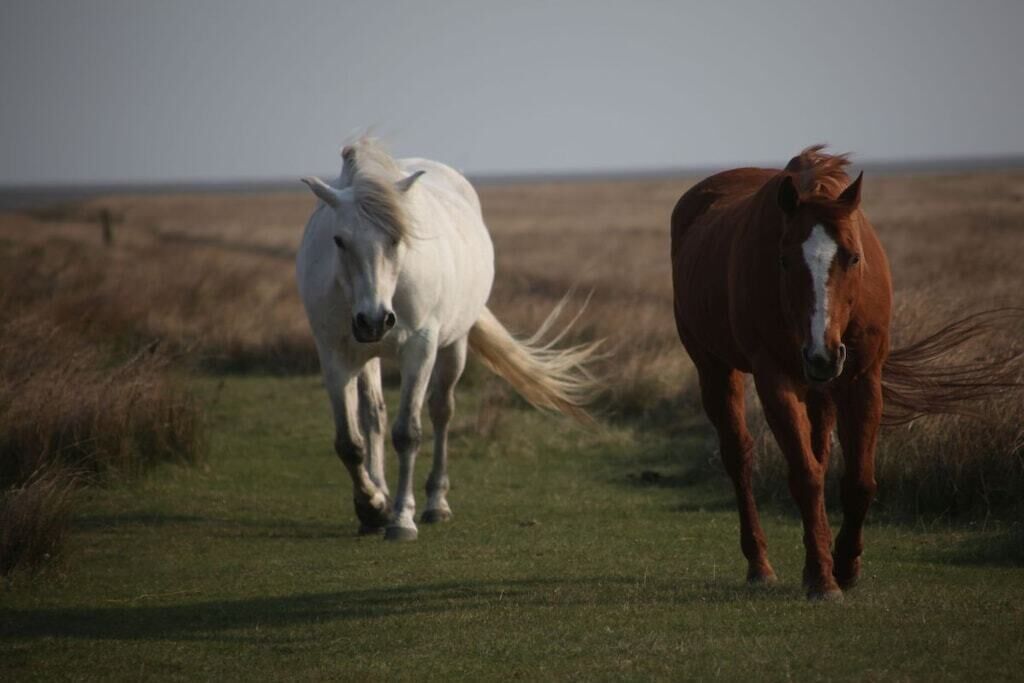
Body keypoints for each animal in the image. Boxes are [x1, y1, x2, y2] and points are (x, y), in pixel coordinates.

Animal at [296, 138, 598, 541]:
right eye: (339, 240)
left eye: (396, 238)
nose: (374, 321)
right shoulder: (335, 354)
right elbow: (350, 442)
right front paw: (372, 507)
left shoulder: (420, 348)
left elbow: (408, 433)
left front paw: (401, 519)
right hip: (368, 354)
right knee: (374, 414)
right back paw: (381, 493)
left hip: (454, 347)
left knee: (441, 411)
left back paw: (436, 503)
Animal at [670, 146, 1020, 600]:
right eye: (783, 260)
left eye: (854, 257)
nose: (822, 354)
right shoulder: (774, 379)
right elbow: (806, 477)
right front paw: (823, 579)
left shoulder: (861, 379)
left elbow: (858, 480)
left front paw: (846, 567)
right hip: (715, 369)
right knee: (739, 457)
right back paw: (760, 564)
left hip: (820, 389)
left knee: (817, 451)